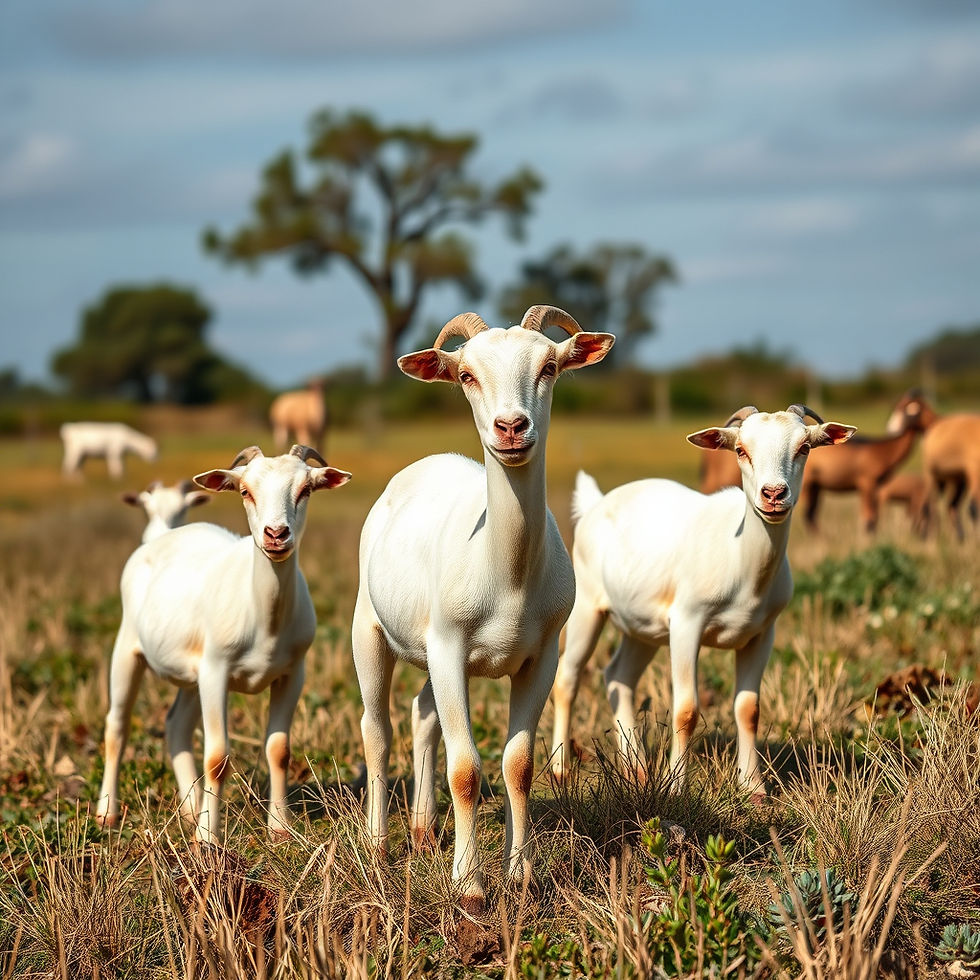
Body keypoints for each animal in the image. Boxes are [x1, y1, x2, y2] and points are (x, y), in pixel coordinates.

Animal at [96, 445, 351, 841]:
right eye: (245, 491)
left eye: (306, 489)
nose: (276, 534)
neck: (265, 618)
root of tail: (158, 538)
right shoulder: (216, 670)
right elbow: (217, 757)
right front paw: (207, 838)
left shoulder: (293, 672)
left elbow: (279, 750)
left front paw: (279, 828)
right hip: (128, 648)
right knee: (117, 726)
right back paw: (107, 813)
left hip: (192, 674)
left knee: (176, 726)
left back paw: (189, 809)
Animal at [351, 307, 614, 911]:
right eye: (467, 374)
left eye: (549, 366)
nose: (511, 428)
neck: (507, 576)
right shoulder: (449, 645)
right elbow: (467, 770)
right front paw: (469, 887)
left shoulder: (541, 654)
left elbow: (519, 766)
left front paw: (521, 876)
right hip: (368, 628)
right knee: (377, 729)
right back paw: (378, 845)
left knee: (422, 714)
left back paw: (424, 832)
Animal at [550, 405, 854, 795]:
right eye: (741, 450)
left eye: (804, 448)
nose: (773, 494)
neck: (742, 562)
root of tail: (596, 503)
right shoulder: (686, 622)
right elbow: (686, 709)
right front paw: (675, 788)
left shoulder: (762, 632)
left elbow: (749, 709)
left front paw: (754, 788)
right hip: (587, 604)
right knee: (568, 678)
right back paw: (561, 770)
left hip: (642, 627)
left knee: (618, 677)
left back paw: (637, 769)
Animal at [800, 390, 935, 532]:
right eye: (918, 407)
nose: (933, 420)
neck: (883, 449)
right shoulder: (867, 484)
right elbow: (868, 520)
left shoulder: (878, 488)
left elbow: (873, 520)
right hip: (807, 485)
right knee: (806, 514)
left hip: (815, 487)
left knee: (811, 515)